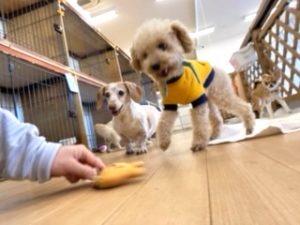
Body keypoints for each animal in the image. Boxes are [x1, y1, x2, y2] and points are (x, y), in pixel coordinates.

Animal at [130, 18, 254, 151]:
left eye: (162, 45)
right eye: (144, 55)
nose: (154, 65)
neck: (175, 79)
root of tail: (216, 67)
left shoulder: (198, 101)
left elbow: (199, 123)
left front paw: (198, 143)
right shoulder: (170, 105)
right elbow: (163, 122)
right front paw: (163, 142)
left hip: (220, 94)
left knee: (243, 106)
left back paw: (249, 126)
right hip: (209, 100)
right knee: (217, 119)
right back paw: (214, 135)